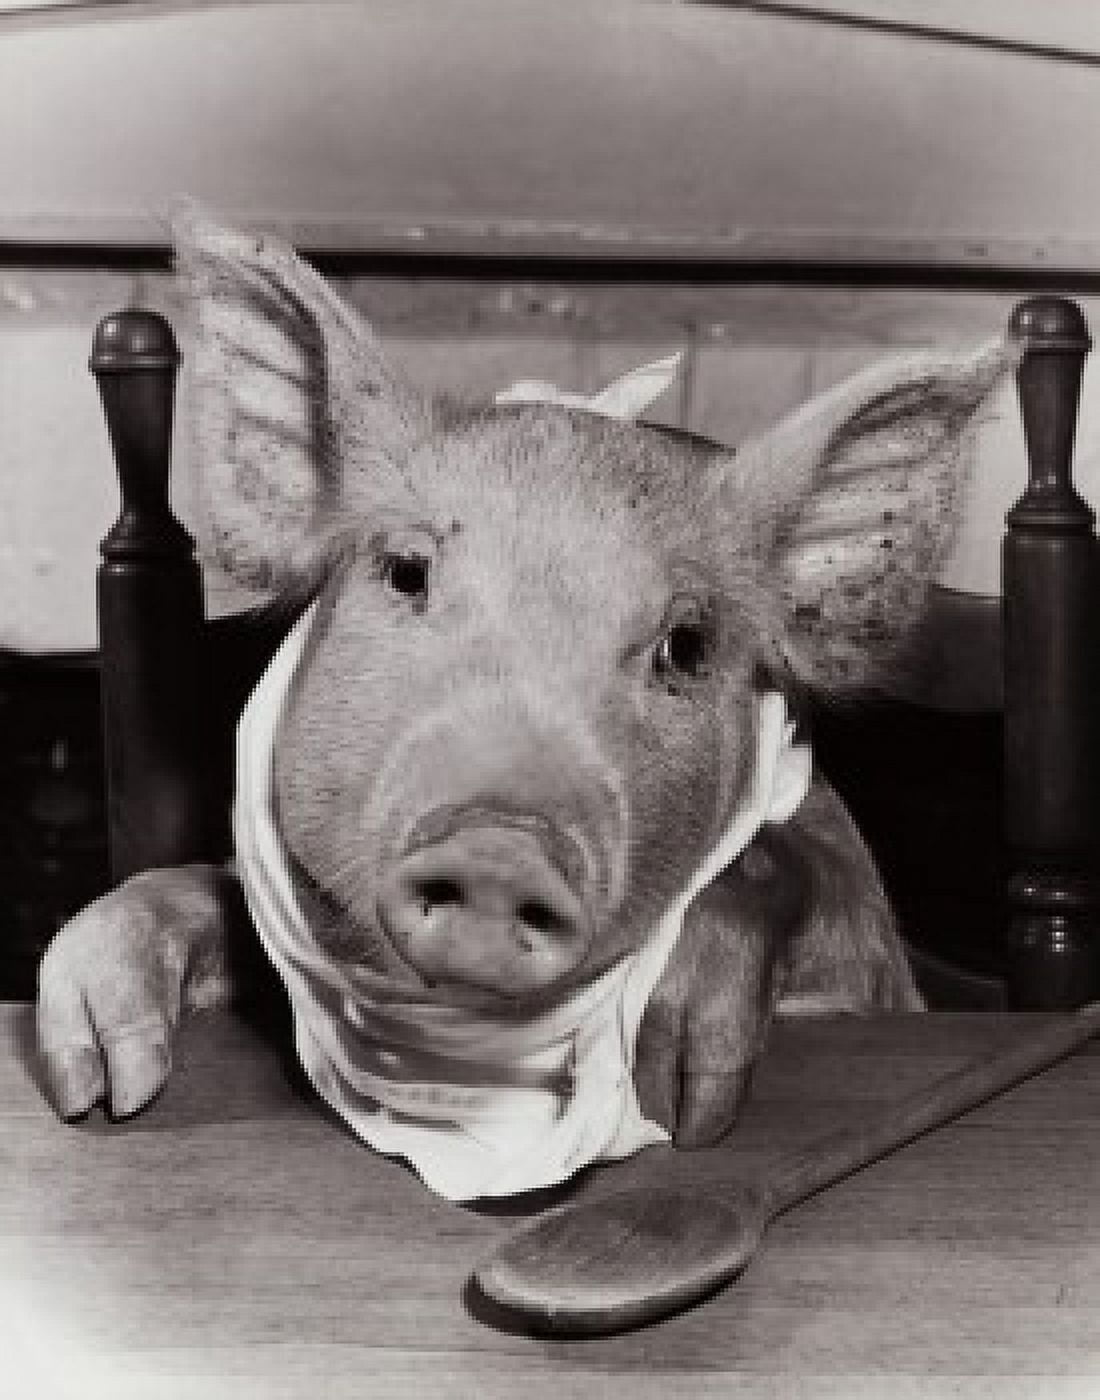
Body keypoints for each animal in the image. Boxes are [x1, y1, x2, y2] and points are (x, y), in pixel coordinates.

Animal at [37, 212, 1018, 1193]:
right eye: (407, 572)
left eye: (687, 646)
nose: (501, 847)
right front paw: (95, 1081)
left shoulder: (866, 949)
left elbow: (781, 874)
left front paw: (678, 1095)